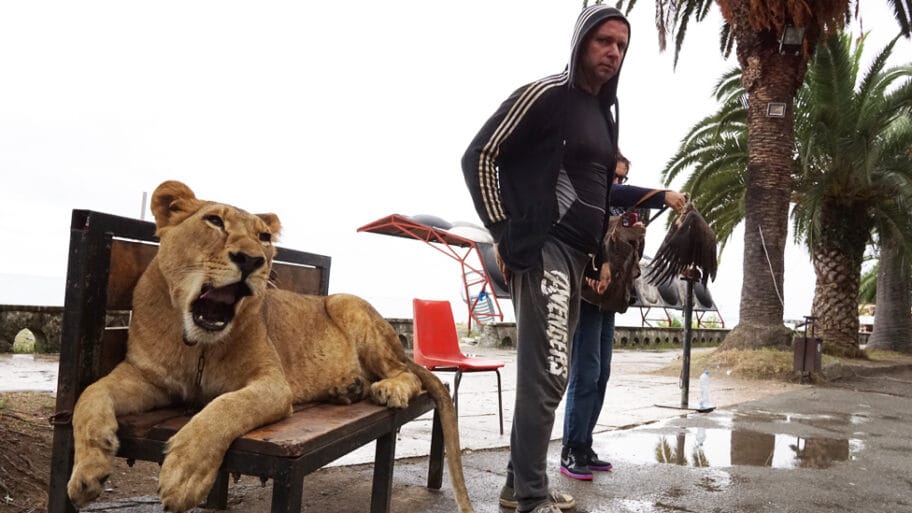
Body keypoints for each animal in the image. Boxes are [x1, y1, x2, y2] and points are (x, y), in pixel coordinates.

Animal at [67, 180, 474, 513]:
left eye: (263, 237)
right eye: (214, 221)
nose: (251, 260)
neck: (196, 347)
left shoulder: (272, 384)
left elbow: (224, 408)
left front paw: (184, 474)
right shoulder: (147, 378)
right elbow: (90, 394)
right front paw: (88, 469)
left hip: (346, 303)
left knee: (408, 373)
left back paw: (387, 388)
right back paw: (348, 388)